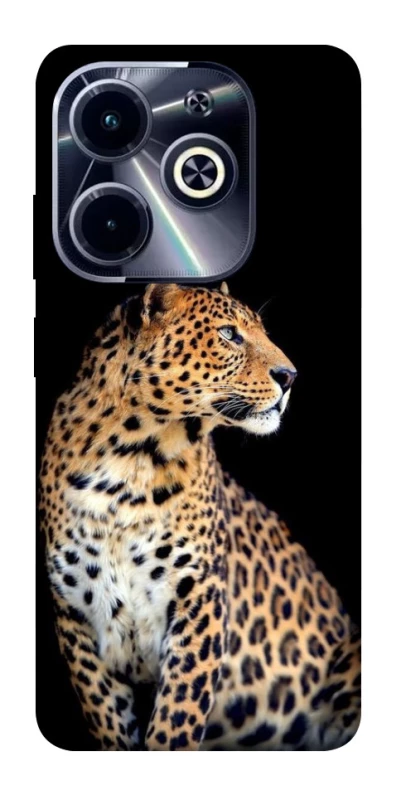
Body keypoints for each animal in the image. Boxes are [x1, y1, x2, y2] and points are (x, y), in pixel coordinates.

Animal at [39, 281, 361, 751]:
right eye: (229, 334)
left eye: (260, 331)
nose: (290, 376)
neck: (128, 461)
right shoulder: (76, 616)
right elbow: (111, 722)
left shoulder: (199, 598)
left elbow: (177, 717)